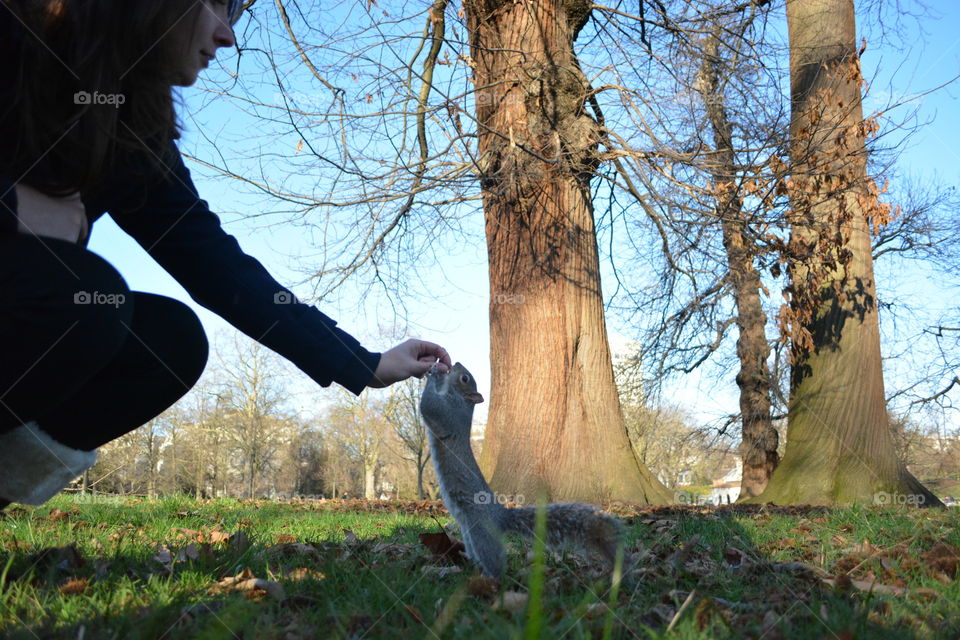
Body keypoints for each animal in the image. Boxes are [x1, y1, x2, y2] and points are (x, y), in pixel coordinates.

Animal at [419, 362, 624, 579]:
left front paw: (433, 373)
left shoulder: (450, 413)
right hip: (468, 532)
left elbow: (430, 406)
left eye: (465, 378)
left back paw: (491, 580)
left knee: (493, 559)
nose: (455, 364)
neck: (461, 400)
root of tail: (500, 517)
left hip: (482, 532)